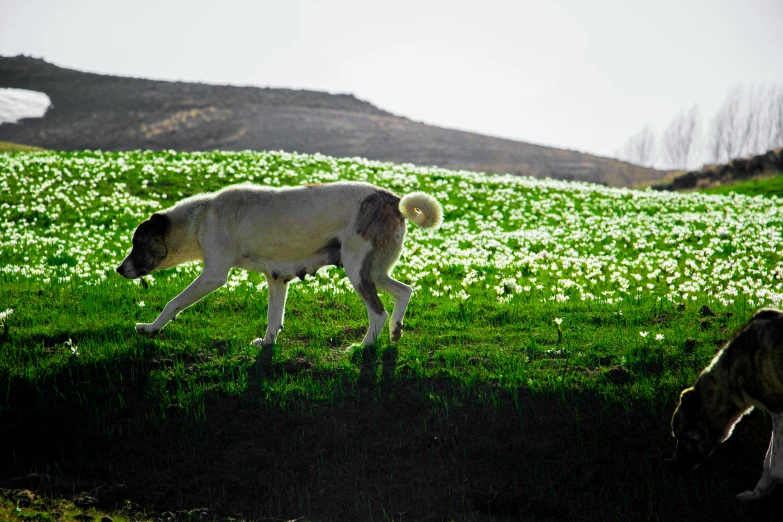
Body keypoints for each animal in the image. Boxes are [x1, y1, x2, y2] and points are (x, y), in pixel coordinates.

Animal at [118, 181, 444, 348]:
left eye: (138, 243)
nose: (119, 270)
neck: (201, 218)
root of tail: (393, 199)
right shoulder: (276, 279)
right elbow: (273, 318)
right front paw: (267, 344)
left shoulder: (213, 275)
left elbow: (173, 303)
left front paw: (150, 328)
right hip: (373, 271)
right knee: (404, 291)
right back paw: (395, 331)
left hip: (357, 269)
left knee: (378, 312)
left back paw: (363, 347)